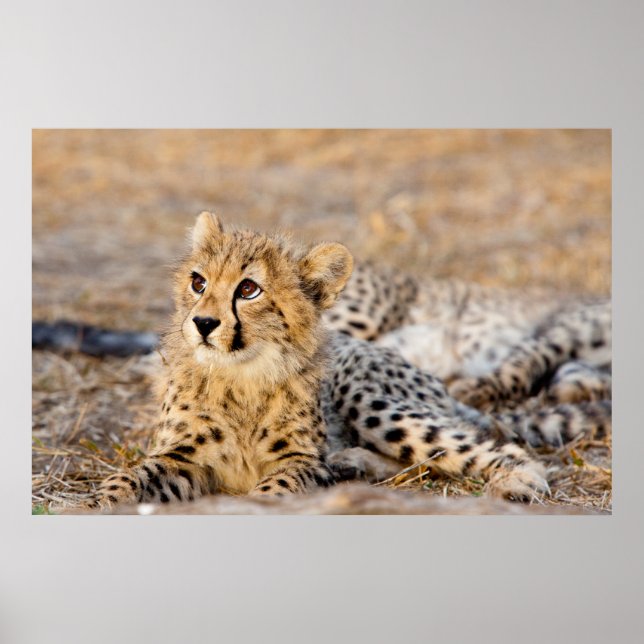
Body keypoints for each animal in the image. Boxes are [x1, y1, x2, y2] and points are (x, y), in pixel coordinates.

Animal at [96, 211, 611, 508]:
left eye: (249, 289)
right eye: (198, 282)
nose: (203, 323)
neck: (240, 373)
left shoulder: (300, 461)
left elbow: (276, 489)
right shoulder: (183, 458)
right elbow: (133, 477)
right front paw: (101, 500)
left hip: (368, 398)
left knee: (481, 447)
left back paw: (517, 482)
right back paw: (350, 464)